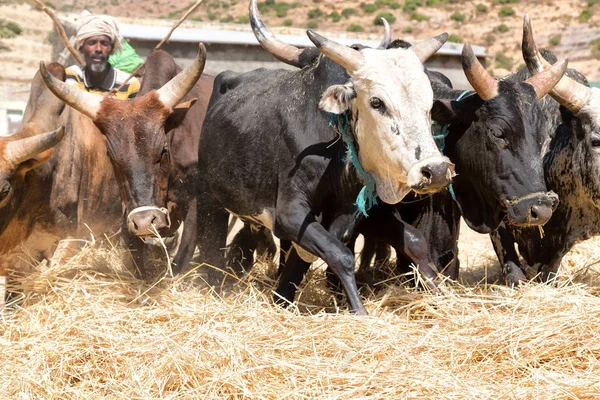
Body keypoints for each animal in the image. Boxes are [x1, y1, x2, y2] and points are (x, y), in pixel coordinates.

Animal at [195, 0, 452, 316]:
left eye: (428, 104)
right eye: (376, 102)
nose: (435, 171)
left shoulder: (344, 212)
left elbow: (321, 254)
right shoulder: (290, 213)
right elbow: (340, 256)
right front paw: (360, 312)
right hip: (209, 197)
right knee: (210, 241)